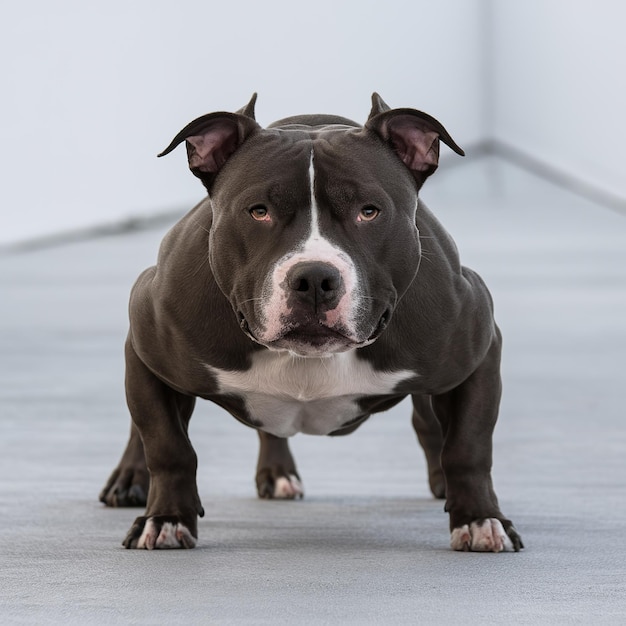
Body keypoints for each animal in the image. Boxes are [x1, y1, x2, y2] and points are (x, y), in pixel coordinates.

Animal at [98, 92, 520, 552]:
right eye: (258, 212)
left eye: (369, 212)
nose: (315, 278)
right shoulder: (147, 343)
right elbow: (166, 445)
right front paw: (166, 518)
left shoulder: (480, 350)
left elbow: (469, 447)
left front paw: (479, 520)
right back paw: (131, 479)